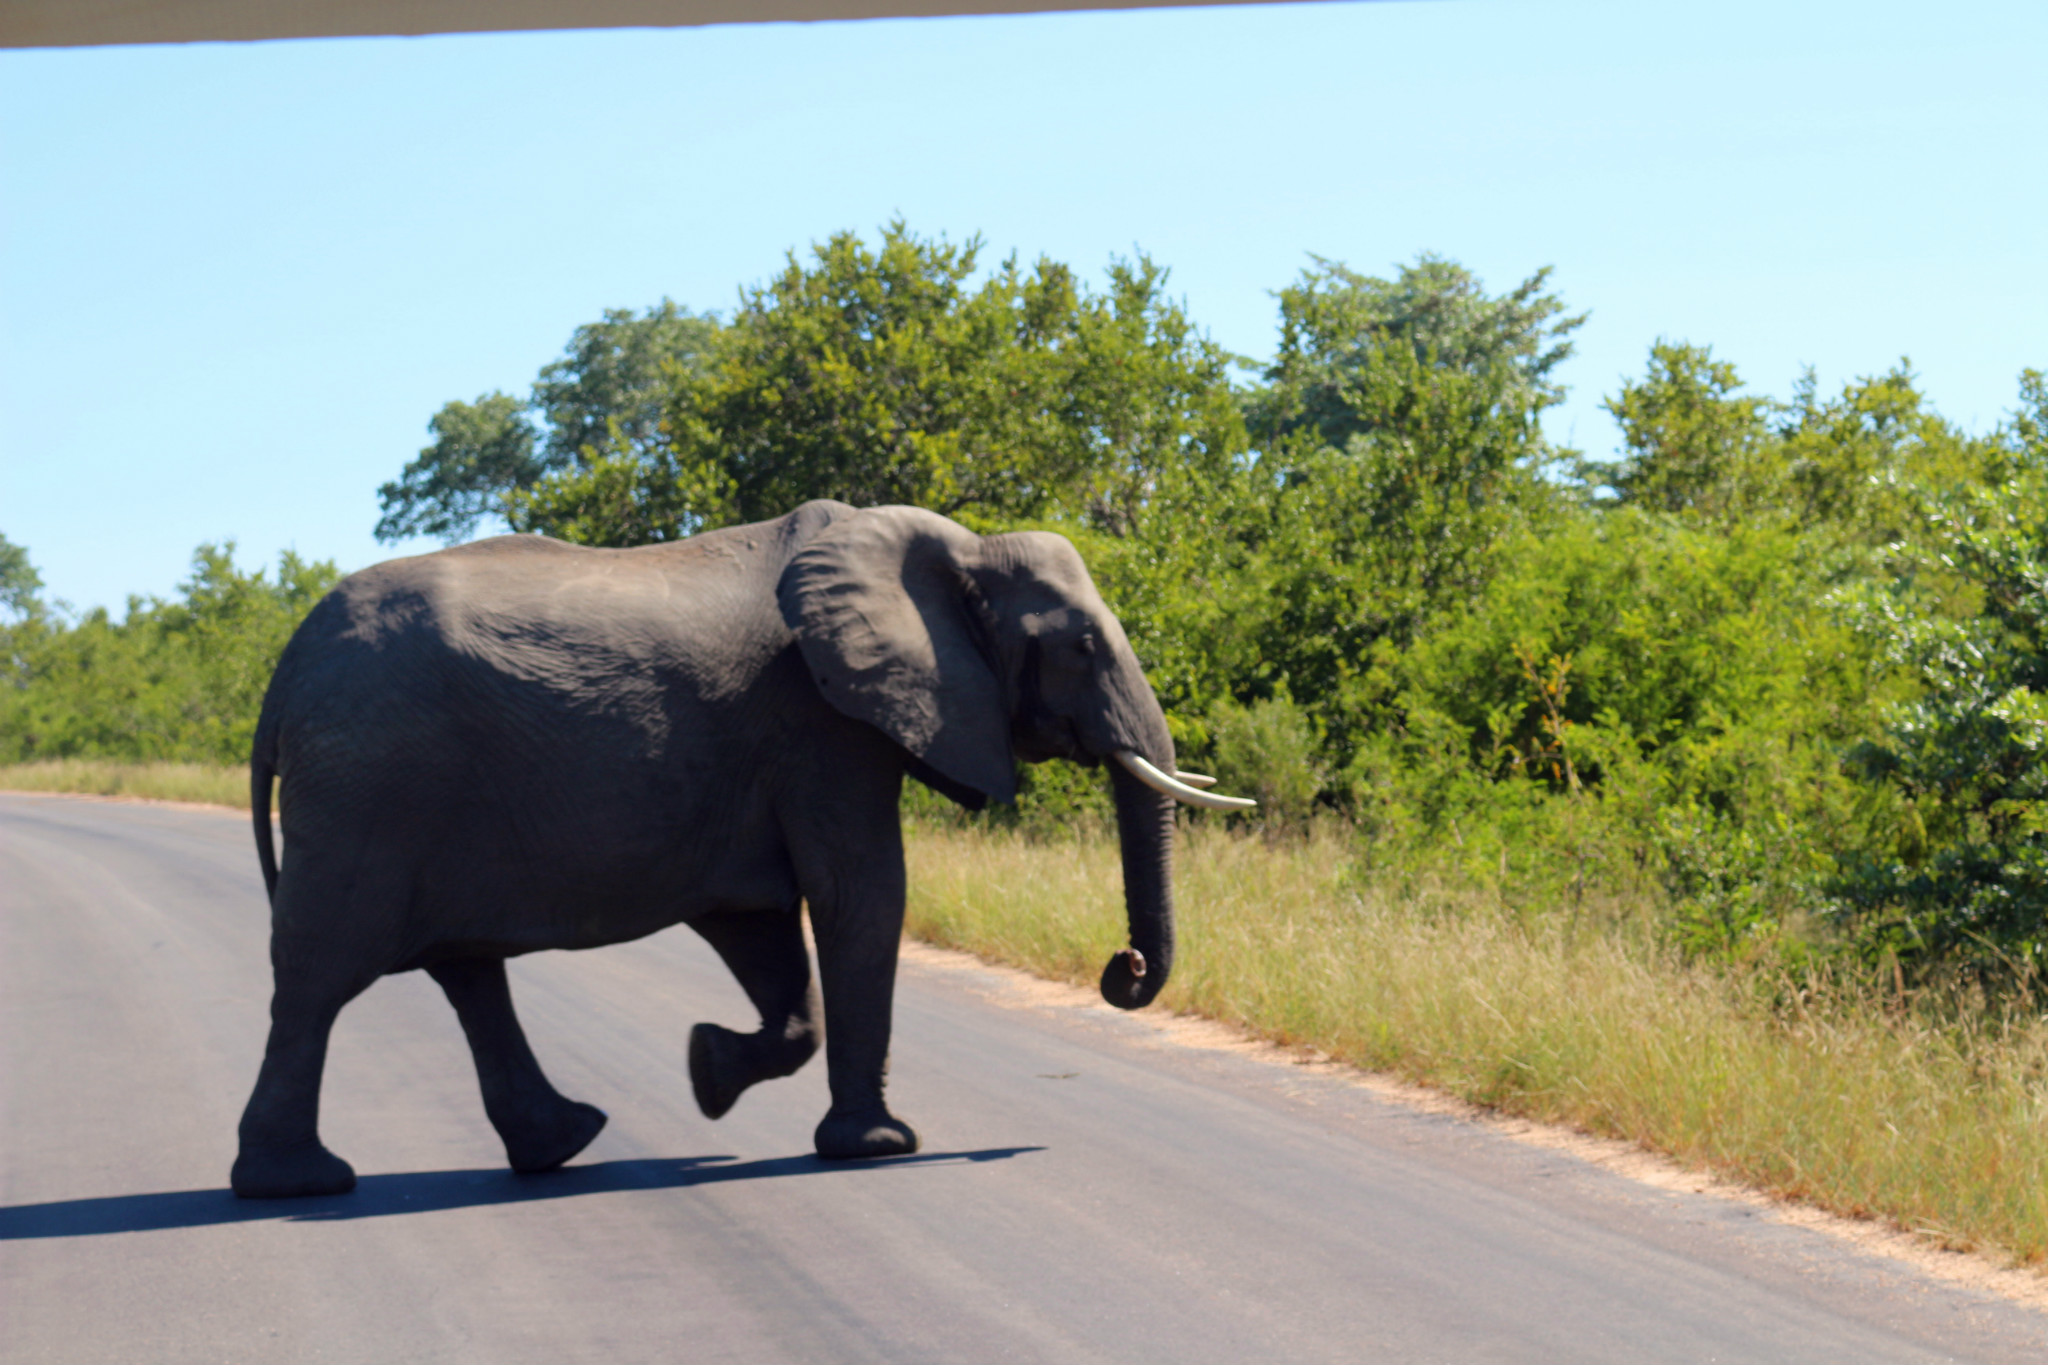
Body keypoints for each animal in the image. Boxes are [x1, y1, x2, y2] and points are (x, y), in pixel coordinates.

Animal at [224, 499, 1245, 1195]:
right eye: (1081, 646)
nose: (1122, 966)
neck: (953, 550)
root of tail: (282, 674)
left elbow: (761, 926)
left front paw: (707, 1072)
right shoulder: (823, 722)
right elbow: (861, 895)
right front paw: (880, 1148)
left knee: (466, 974)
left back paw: (564, 1142)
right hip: (369, 792)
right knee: (318, 979)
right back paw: (300, 1183)